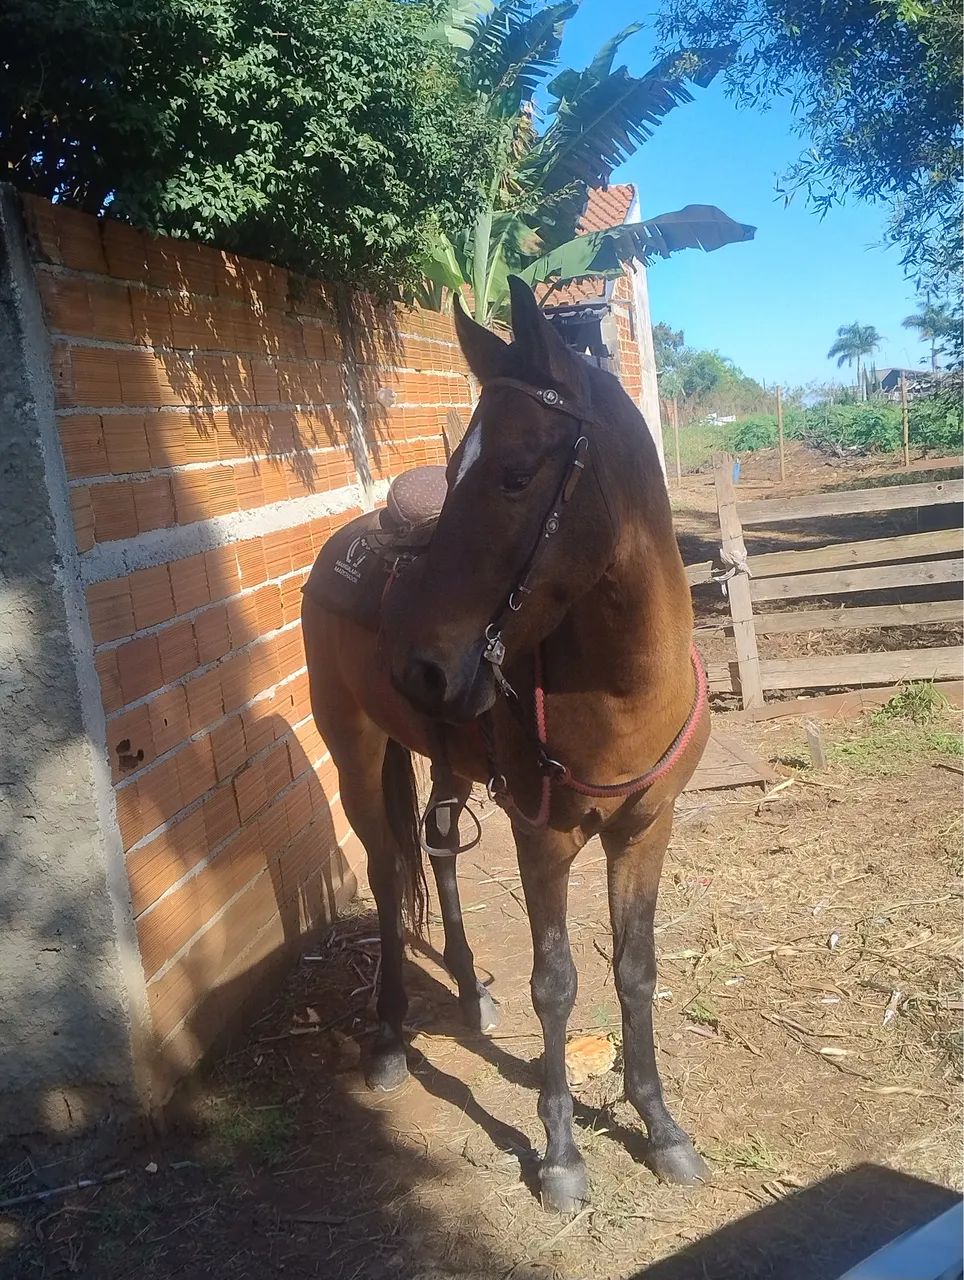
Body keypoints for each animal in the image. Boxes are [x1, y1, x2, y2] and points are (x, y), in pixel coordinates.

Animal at [301, 277, 710, 1214]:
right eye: (457, 473)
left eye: (517, 474)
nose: (418, 666)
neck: (625, 689)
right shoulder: (543, 839)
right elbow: (556, 984)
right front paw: (560, 1154)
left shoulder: (645, 831)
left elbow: (636, 969)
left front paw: (660, 1127)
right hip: (355, 753)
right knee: (388, 873)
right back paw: (388, 1037)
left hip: (448, 760)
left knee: (439, 852)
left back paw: (466, 989)